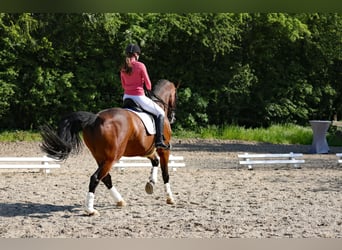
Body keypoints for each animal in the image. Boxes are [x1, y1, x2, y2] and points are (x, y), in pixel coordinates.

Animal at [39, 79, 178, 215]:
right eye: (176, 95)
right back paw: (90, 210)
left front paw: (151, 183)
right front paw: (170, 198)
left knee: (106, 178)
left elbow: (155, 161)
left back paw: (119, 201)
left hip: (100, 157)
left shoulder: (146, 150)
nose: (173, 117)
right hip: (112, 158)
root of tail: (95, 118)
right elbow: (165, 173)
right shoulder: (164, 149)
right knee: (96, 178)